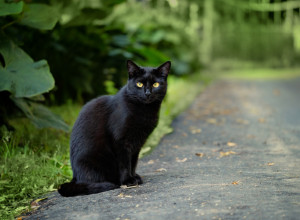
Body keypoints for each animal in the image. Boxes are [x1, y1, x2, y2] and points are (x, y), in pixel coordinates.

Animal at [58, 59, 171, 196]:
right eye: (139, 84)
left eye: (155, 84)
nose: (147, 93)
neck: (144, 110)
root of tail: (75, 177)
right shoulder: (120, 141)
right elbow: (124, 163)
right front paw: (128, 180)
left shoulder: (137, 142)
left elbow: (133, 161)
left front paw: (134, 176)